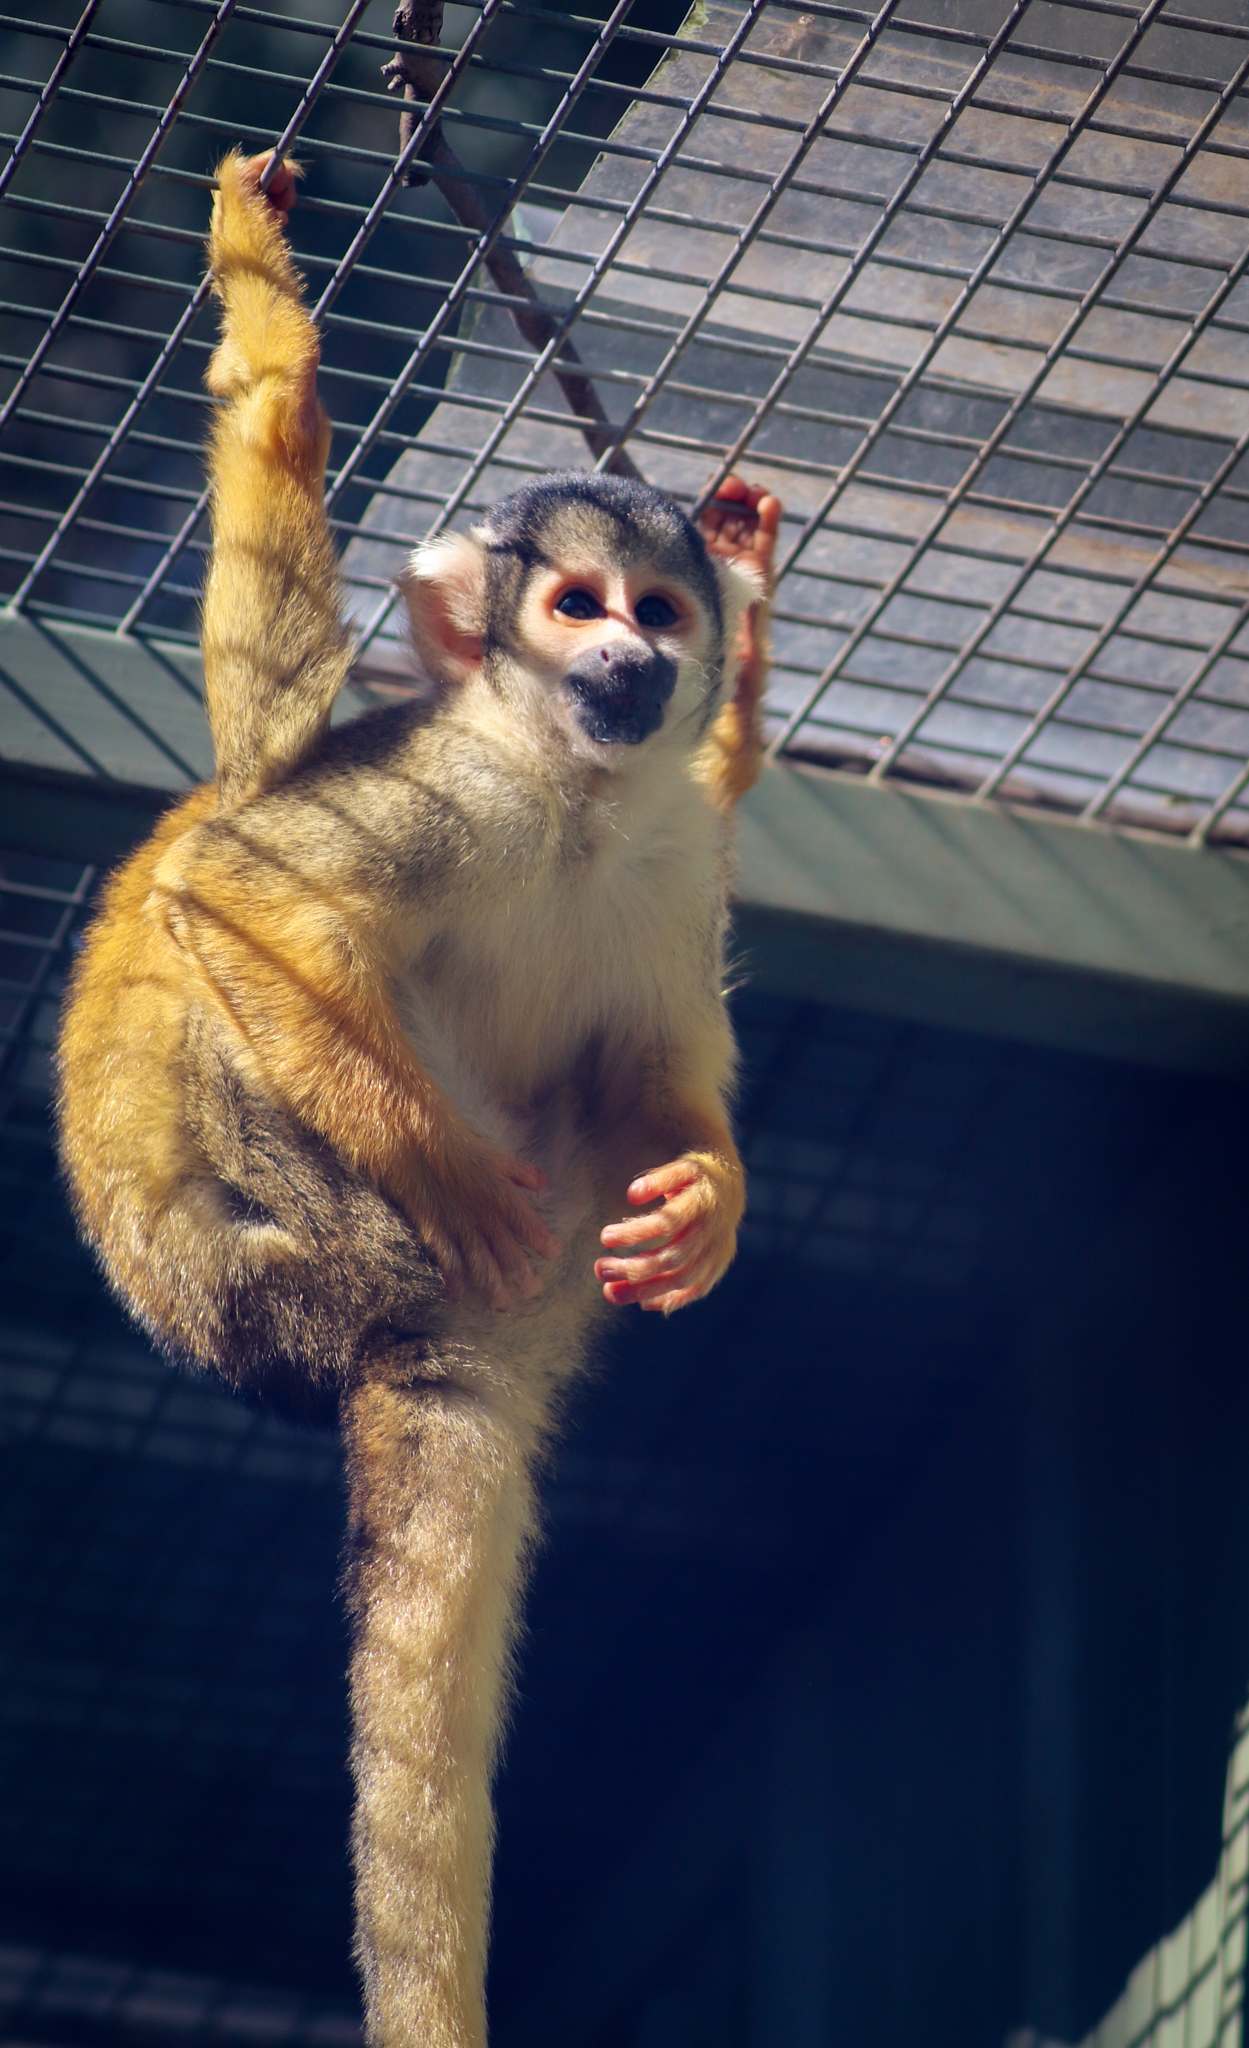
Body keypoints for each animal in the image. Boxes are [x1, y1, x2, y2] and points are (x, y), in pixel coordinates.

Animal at [56, 152, 781, 2048]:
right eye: (573, 608)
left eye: (652, 613)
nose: (632, 667)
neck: (575, 797)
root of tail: (443, 1333)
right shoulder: (448, 778)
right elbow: (246, 893)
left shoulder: (671, 851)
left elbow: (665, 1059)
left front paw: (708, 1204)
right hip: (290, 1260)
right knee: (237, 954)